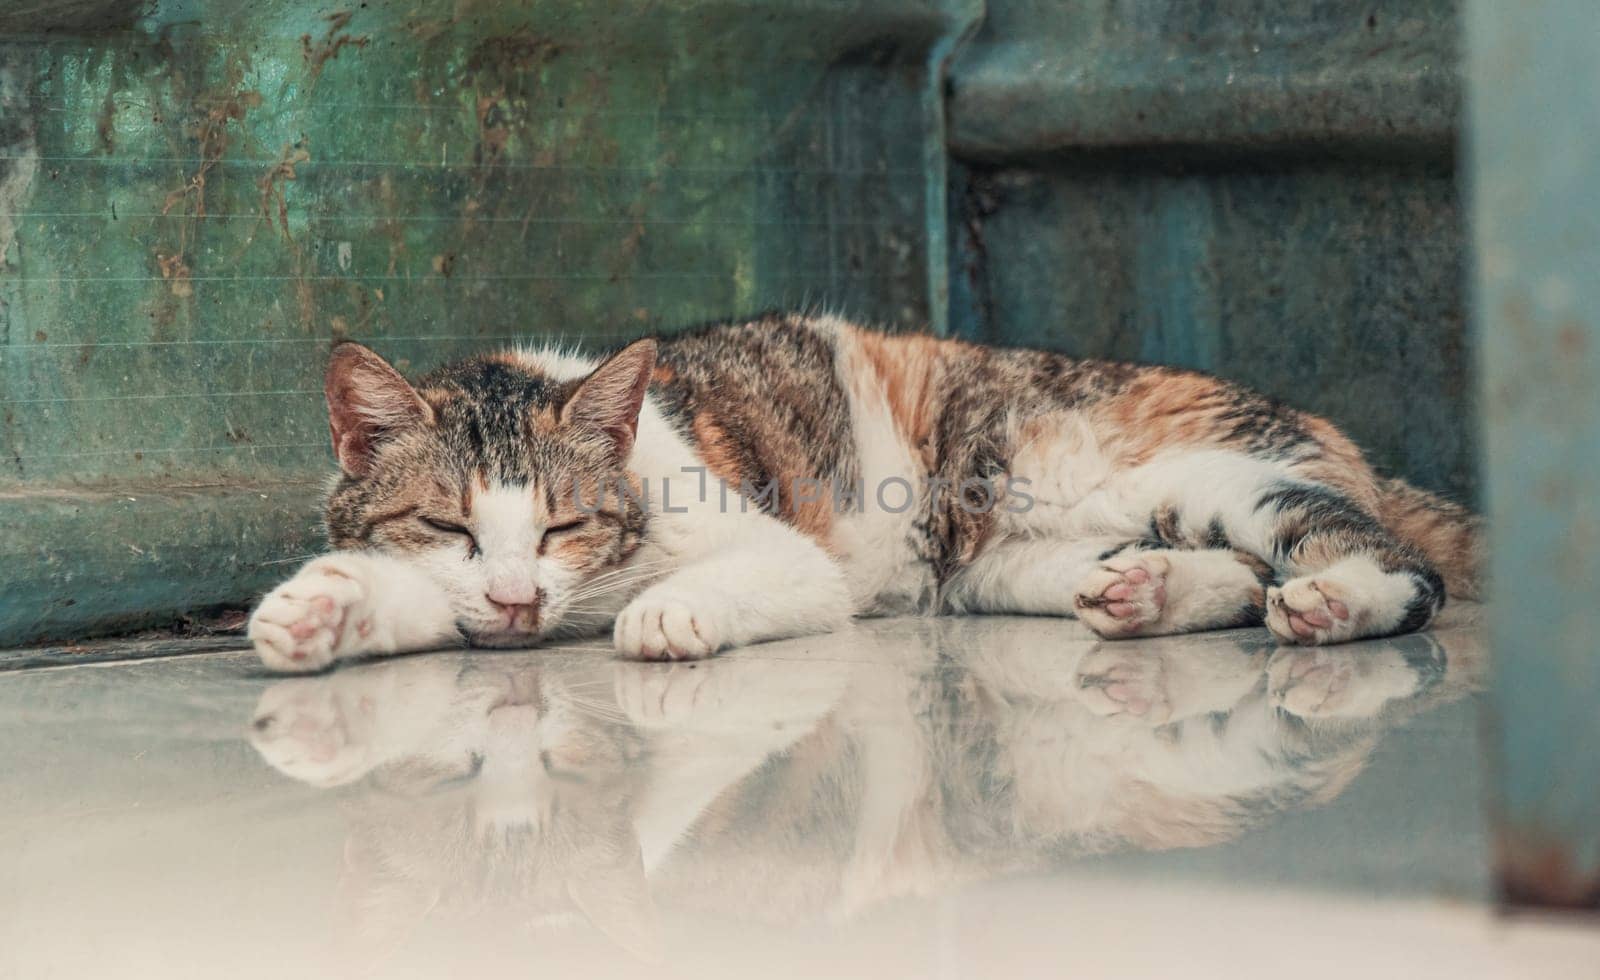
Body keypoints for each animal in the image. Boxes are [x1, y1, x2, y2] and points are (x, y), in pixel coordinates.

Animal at [243, 313, 1478, 672]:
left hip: (1216, 468)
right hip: (1000, 565)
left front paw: (666, 614)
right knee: (1219, 566)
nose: (514, 597)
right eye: (445, 523)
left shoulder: (787, 554)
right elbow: (414, 601)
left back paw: (1337, 600)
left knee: (1388, 561)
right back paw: (1148, 594)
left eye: (565, 523)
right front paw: (322, 610)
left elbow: (739, 579)